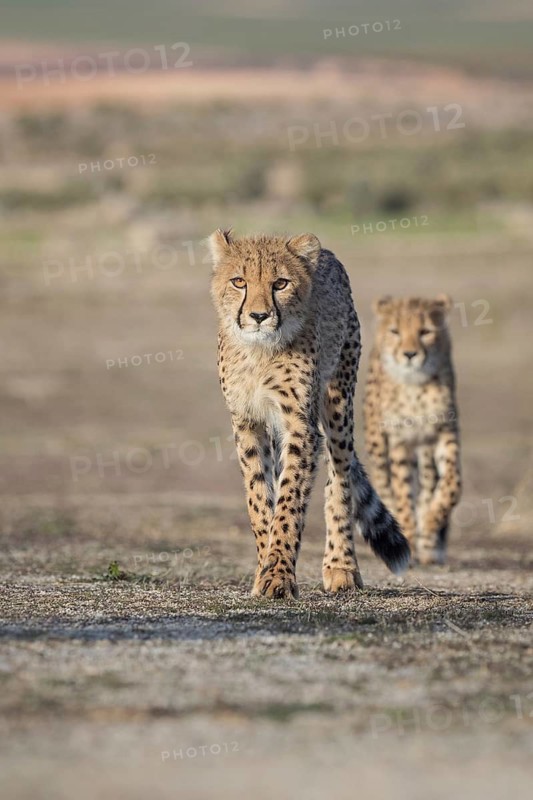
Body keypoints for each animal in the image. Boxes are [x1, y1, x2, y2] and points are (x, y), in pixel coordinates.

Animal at [209, 229, 410, 599]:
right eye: (239, 281)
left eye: (280, 283)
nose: (258, 316)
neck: (259, 352)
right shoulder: (248, 423)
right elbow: (260, 497)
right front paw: (265, 568)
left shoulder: (300, 425)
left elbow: (289, 501)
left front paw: (278, 575)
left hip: (338, 402)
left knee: (340, 481)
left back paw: (341, 567)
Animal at [364, 295, 461, 565]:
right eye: (395, 331)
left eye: (425, 331)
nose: (409, 354)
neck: (416, 387)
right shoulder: (400, 442)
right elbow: (402, 490)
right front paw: (406, 526)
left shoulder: (444, 434)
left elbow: (453, 484)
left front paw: (431, 523)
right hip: (377, 443)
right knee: (384, 482)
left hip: (425, 451)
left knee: (428, 485)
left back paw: (429, 544)